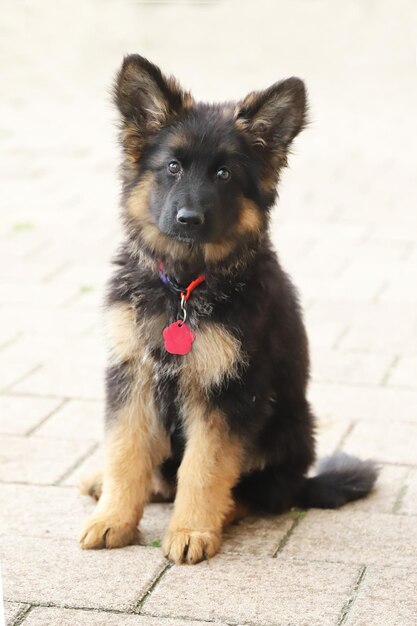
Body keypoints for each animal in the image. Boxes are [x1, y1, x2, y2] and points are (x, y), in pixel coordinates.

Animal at [79, 54, 376, 560]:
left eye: (224, 175)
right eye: (173, 167)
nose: (188, 220)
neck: (184, 286)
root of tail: (304, 480)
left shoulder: (230, 391)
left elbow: (205, 468)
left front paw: (191, 530)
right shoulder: (131, 374)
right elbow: (125, 451)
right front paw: (113, 519)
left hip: (288, 427)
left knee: (262, 493)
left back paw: (224, 512)